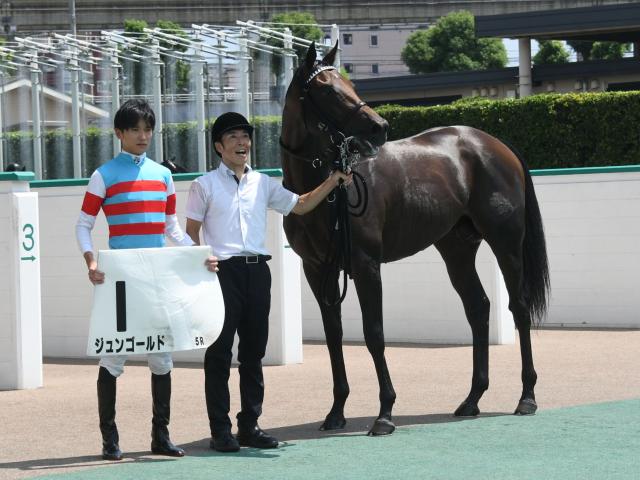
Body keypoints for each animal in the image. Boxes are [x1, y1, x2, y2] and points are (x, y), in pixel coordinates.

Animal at [280, 43, 552, 436]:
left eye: (350, 84)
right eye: (328, 89)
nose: (379, 127)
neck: (321, 191)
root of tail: (496, 145)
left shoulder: (366, 265)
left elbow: (374, 333)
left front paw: (384, 413)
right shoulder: (317, 270)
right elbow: (334, 335)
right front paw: (335, 412)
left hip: (506, 245)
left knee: (519, 308)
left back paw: (526, 397)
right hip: (456, 250)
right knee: (478, 308)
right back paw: (472, 399)